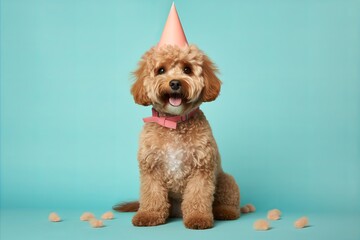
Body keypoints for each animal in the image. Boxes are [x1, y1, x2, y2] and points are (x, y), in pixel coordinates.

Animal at [113, 44, 242, 230]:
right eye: (161, 70)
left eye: (187, 69)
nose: (174, 83)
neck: (174, 122)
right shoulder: (151, 168)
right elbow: (152, 194)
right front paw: (149, 214)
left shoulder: (201, 170)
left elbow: (198, 196)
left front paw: (198, 218)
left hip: (226, 180)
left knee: (228, 203)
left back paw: (224, 211)